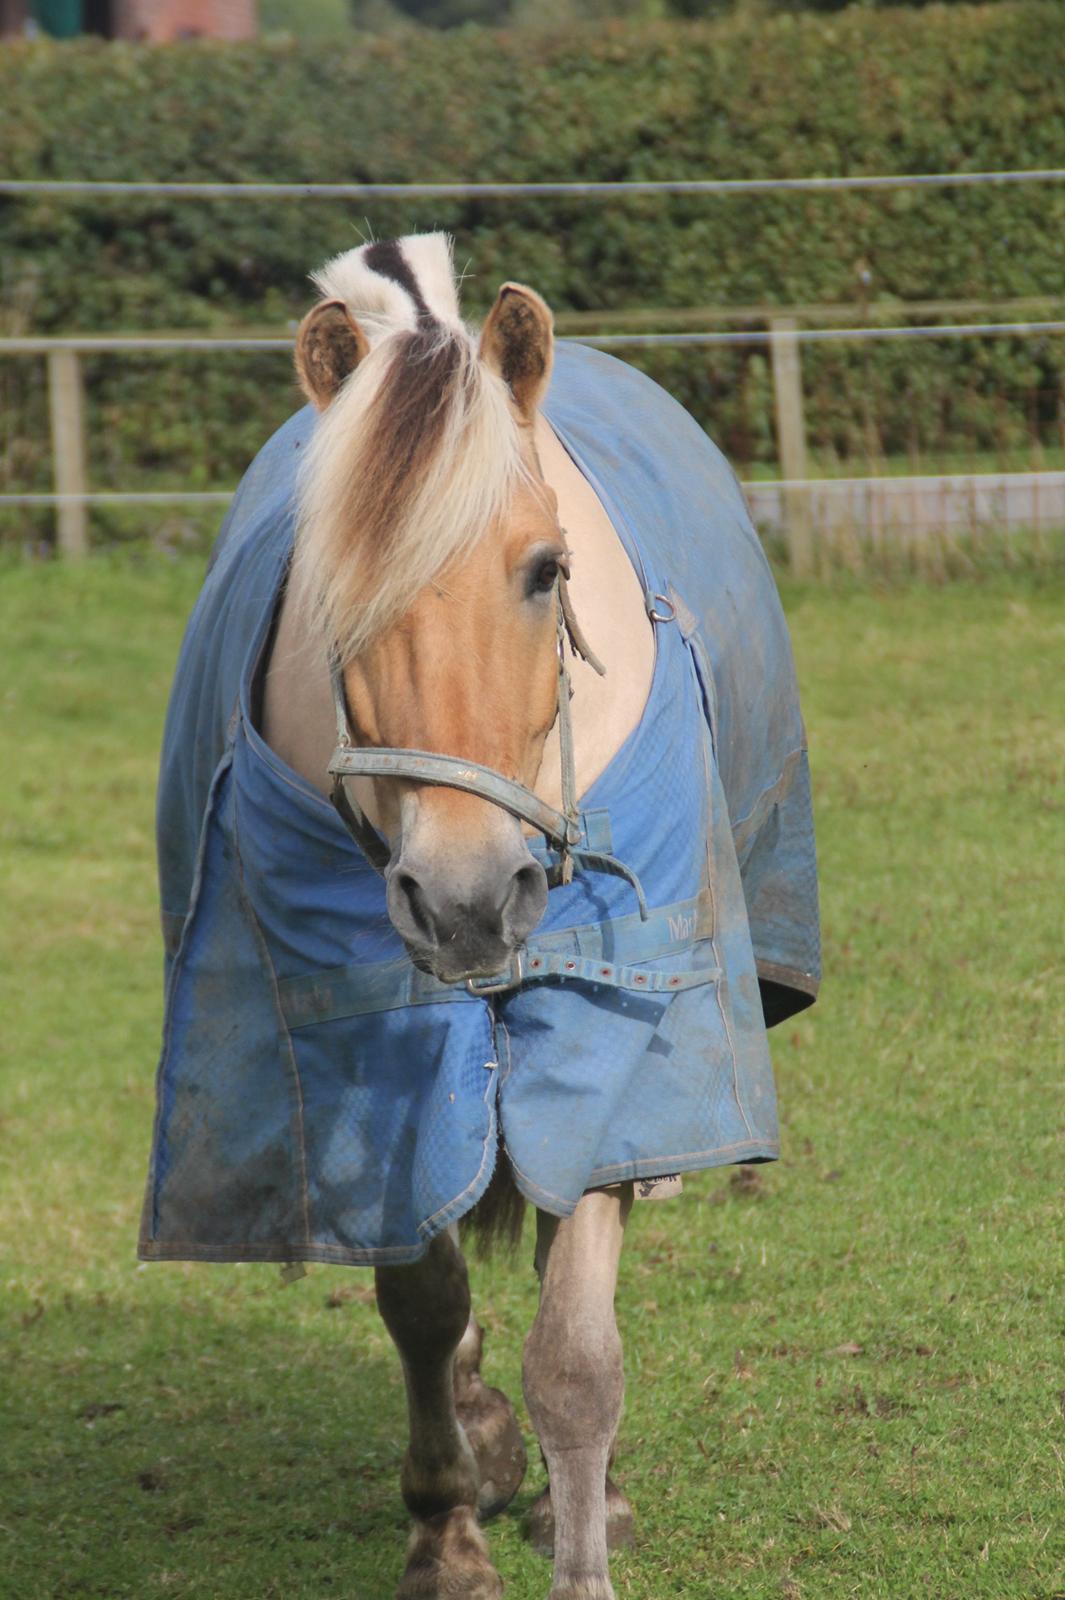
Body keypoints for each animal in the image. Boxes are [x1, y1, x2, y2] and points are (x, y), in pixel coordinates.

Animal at [139, 228, 818, 1600]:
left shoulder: (615, 1021)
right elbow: (422, 1299)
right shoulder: (360, 1035)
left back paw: (577, 1489)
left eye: (545, 571)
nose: (463, 899)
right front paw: (448, 1527)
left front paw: (582, 1543)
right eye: (329, 589)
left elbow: (577, 1346)